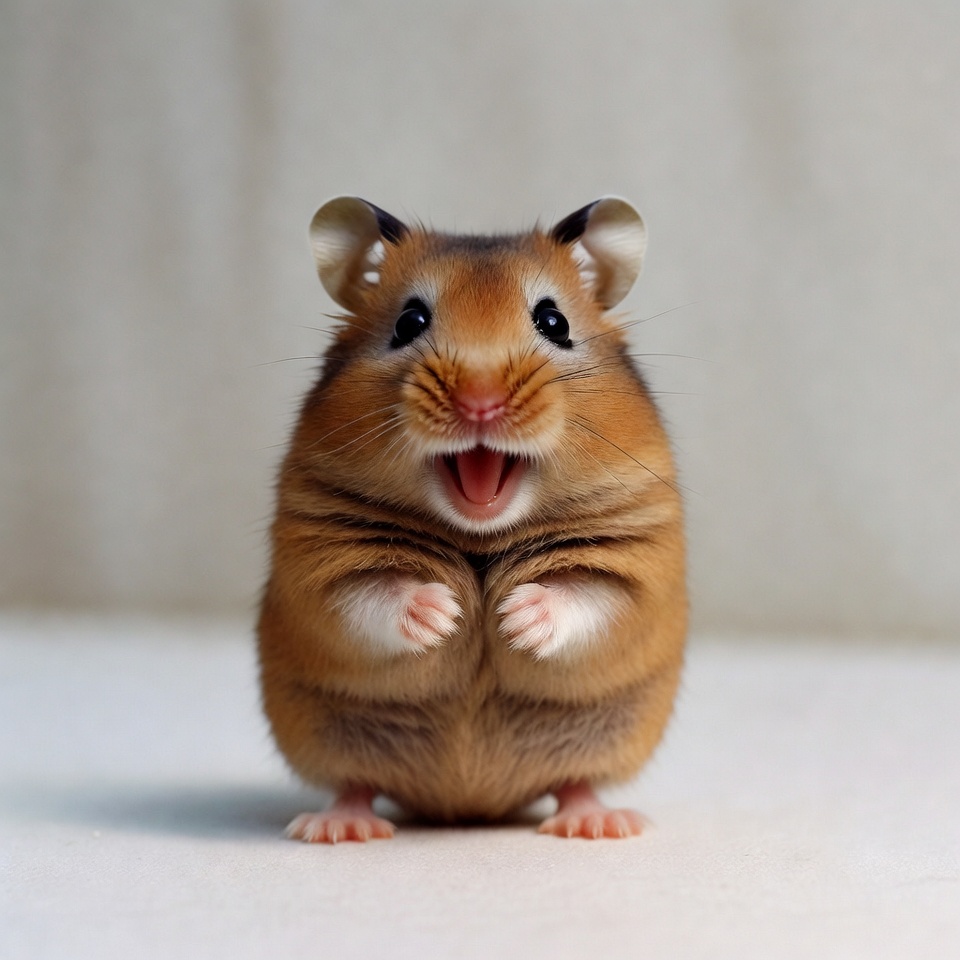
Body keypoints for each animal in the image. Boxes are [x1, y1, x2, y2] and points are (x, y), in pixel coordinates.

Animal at [257, 196, 687, 842]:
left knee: (574, 782)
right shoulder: (316, 560)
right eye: (409, 321)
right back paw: (337, 828)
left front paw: (511, 616)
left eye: (554, 322)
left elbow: (583, 597)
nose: (479, 402)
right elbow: (373, 595)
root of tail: (468, 806)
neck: (479, 533)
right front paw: (449, 613)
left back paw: (600, 823)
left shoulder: (636, 561)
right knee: (355, 784)